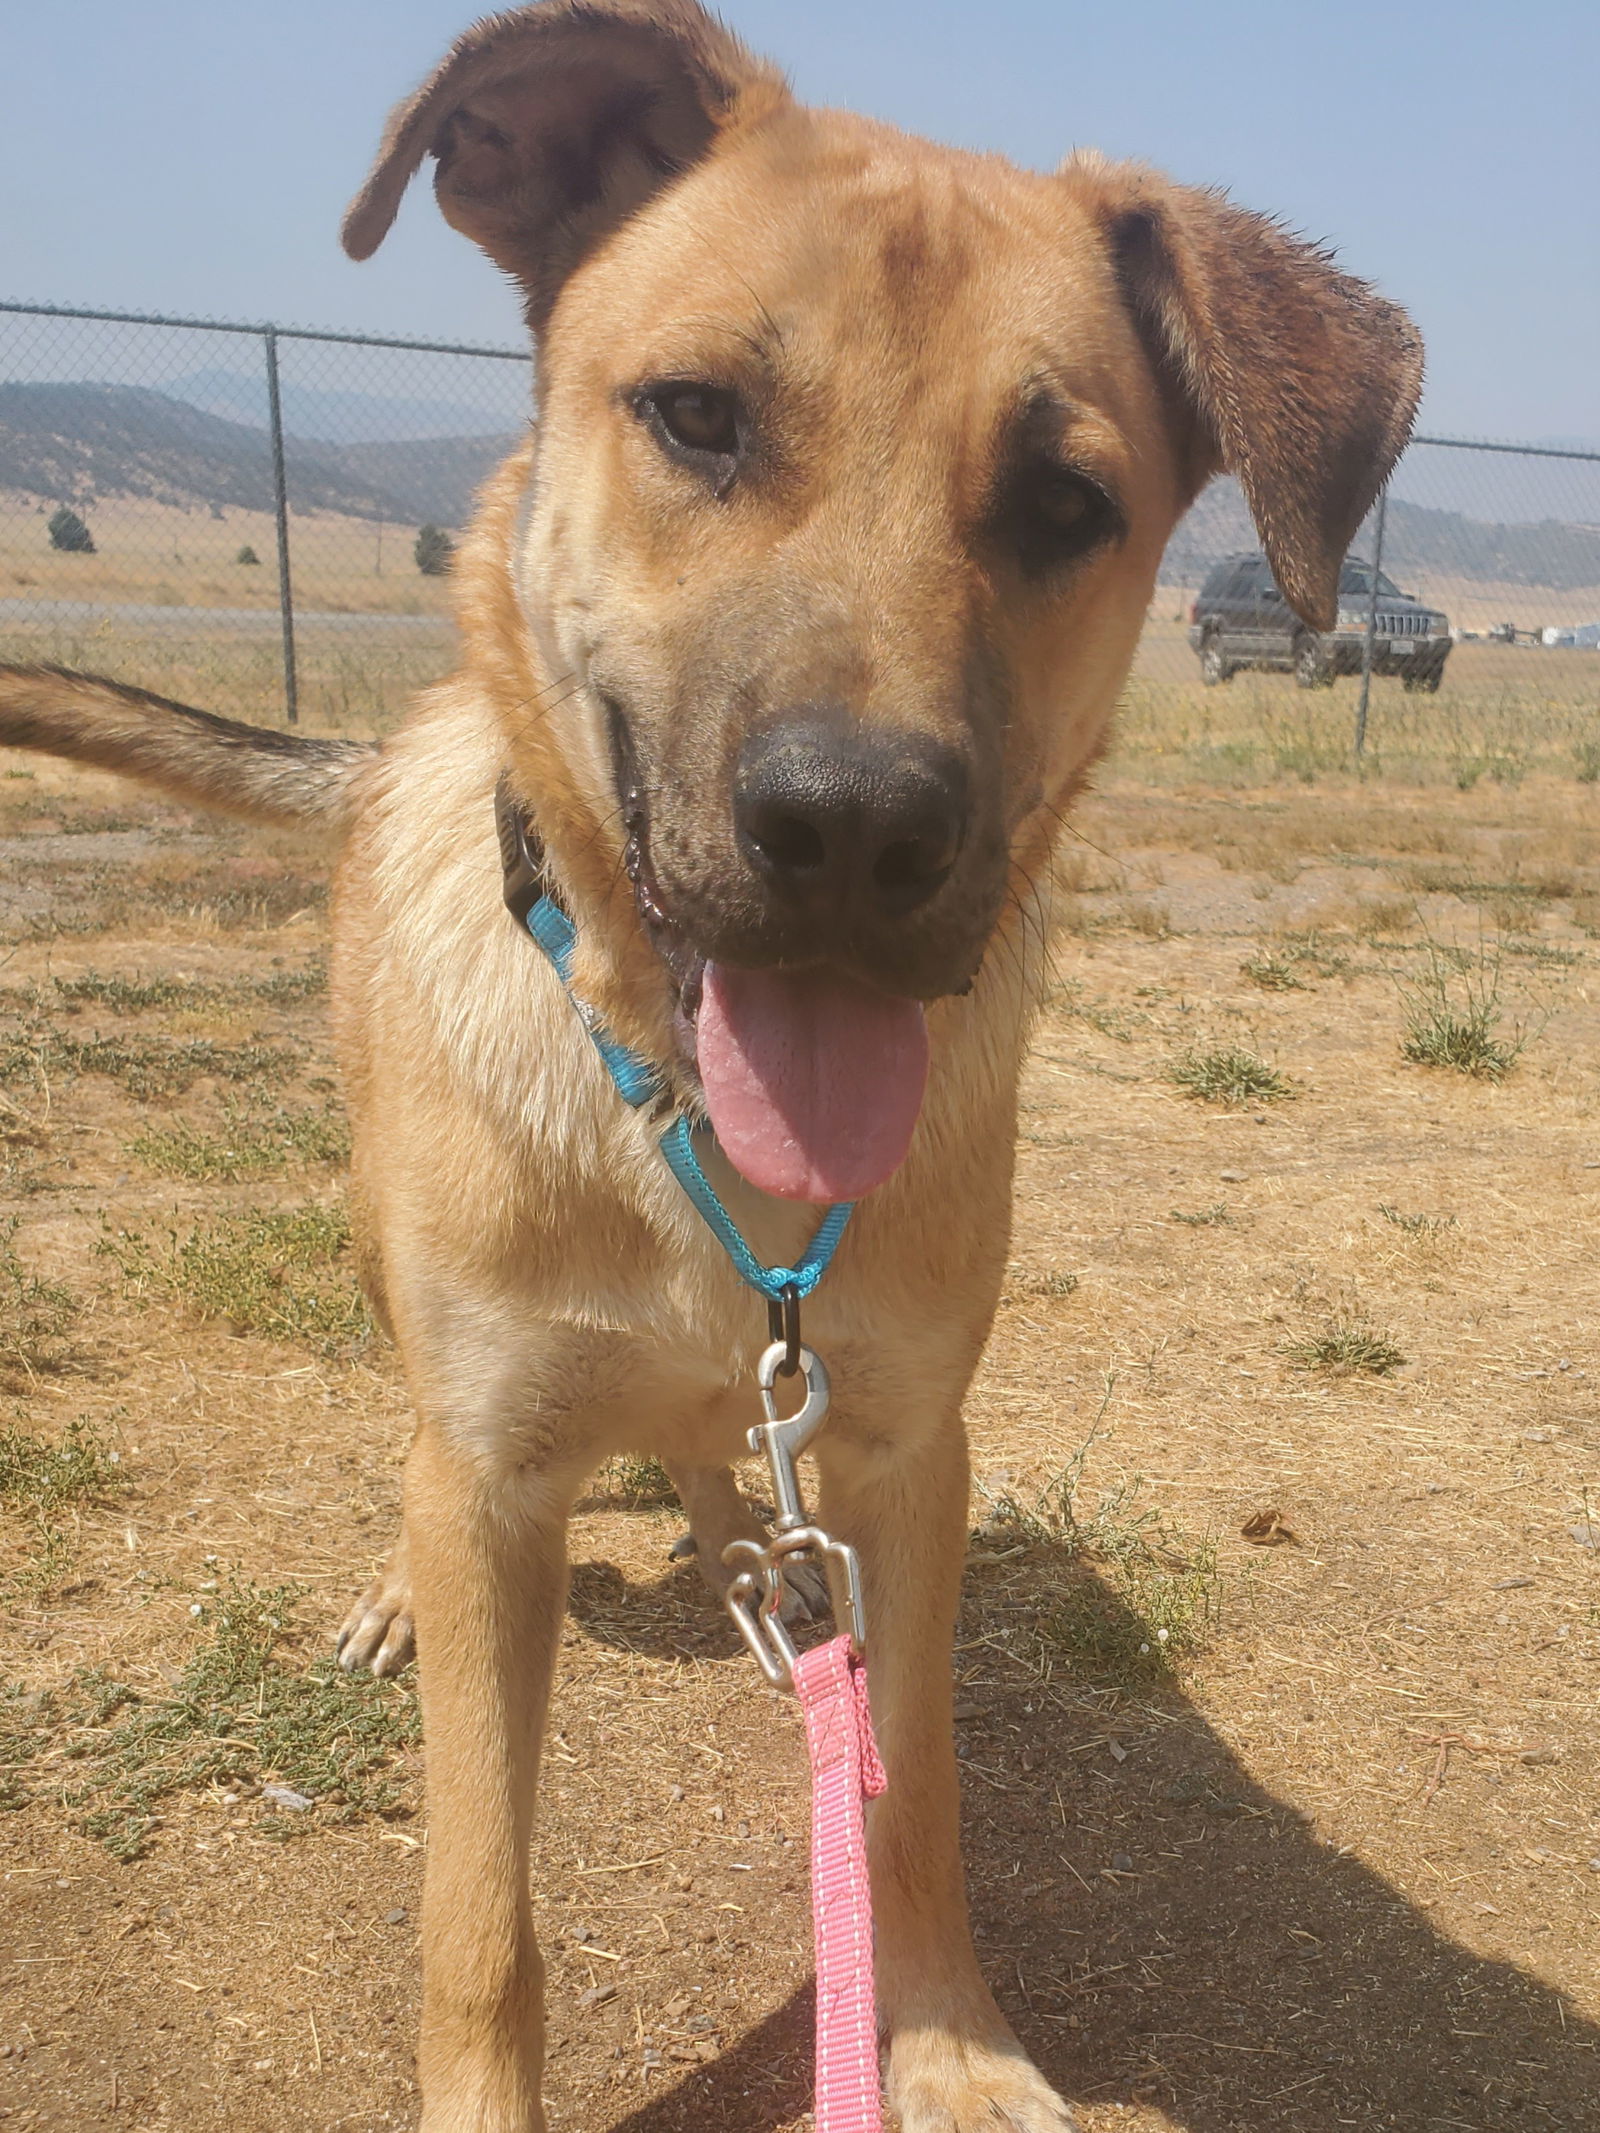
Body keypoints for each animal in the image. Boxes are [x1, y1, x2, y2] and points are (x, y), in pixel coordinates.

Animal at [0, 8, 1425, 2124]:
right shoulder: (497, 1469)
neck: (685, 1129)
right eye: (695, 417)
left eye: (1065, 501)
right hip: (387, 1276)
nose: (855, 830)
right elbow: (478, 1908)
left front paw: (950, 2047)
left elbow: (906, 1799)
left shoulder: (910, 1458)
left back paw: (737, 1522)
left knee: (714, 1454)